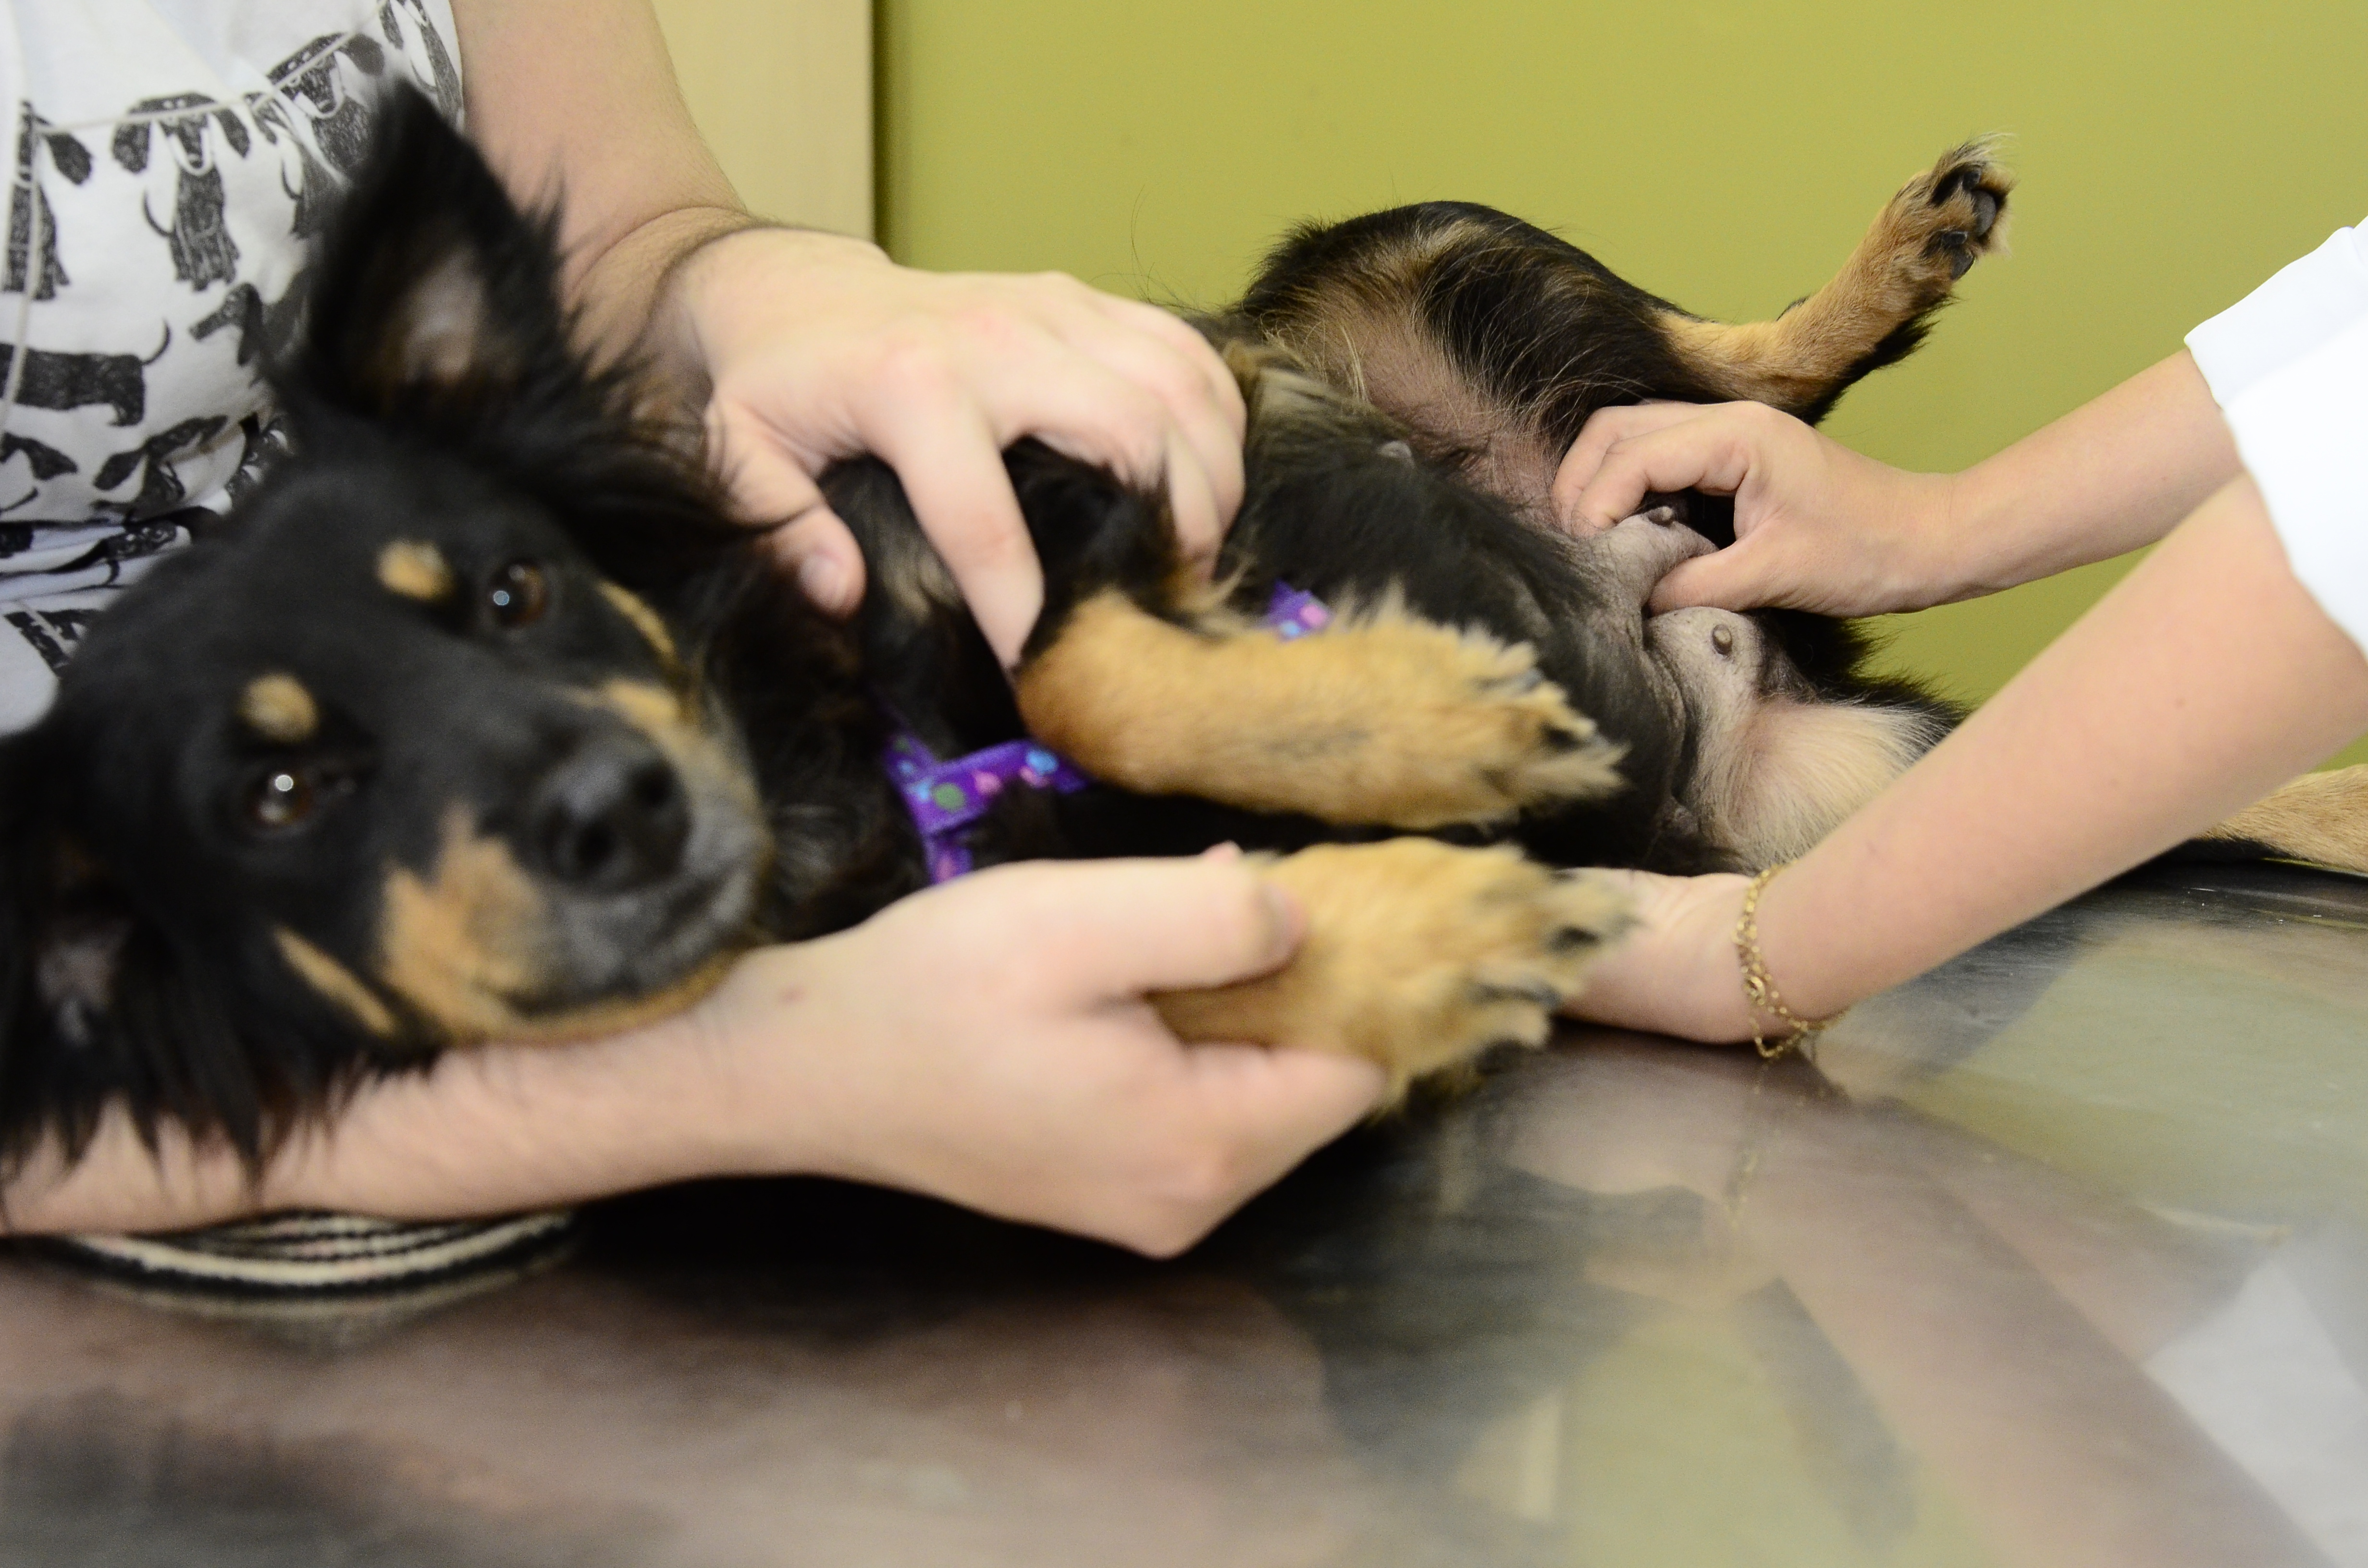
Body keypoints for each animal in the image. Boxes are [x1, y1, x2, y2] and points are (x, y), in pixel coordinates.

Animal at [9, 92, 2358, 1179]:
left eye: (510, 591)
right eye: (282, 796)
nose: (607, 807)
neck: (821, 735)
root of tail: (1724, 635)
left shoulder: (1037, 467)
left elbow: (1070, 644)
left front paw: (1412, 711)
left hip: (1418, 261)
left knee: (1733, 368)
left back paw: (1887, 262)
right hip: (1854, 804)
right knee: (2160, 789)